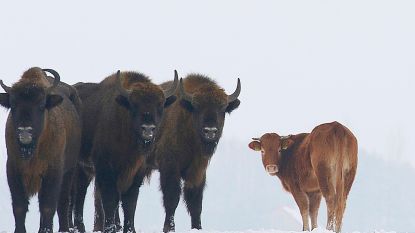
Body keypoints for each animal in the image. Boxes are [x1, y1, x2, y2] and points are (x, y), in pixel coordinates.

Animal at [0, 67, 82, 233]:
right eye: (13, 105)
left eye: (41, 104)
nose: (25, 131)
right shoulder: (13, 169)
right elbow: (19, 206)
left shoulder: (53, 171)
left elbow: (48, 207)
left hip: (69, 171)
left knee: (63, 202)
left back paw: (63, 228)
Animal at [72, 70, 179, 232]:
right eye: (134, 104)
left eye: (160, 105)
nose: (148, 129)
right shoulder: (106, 170)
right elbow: (110, 200)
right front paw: (110, 228)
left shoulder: (137, 172)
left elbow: (130, 202)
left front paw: (129, 229)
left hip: (85, 169)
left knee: (79, 193)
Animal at [154, 74, 240, 231]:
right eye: (197, 107)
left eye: (222, 107)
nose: (210, 131)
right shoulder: (169, 167)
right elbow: (172, 198)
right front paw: (169, 228)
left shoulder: (198, 170)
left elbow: (195, 202)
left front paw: (197, 227)